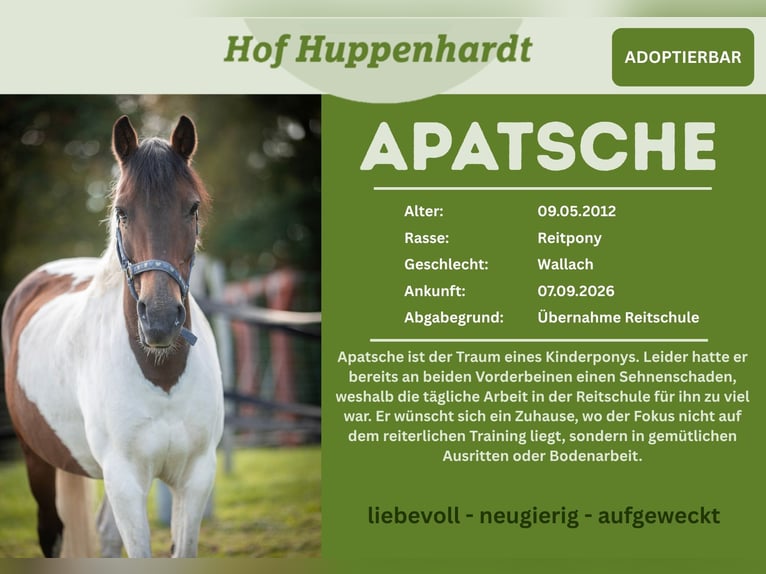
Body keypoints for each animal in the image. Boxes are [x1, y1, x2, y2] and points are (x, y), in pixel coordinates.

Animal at [1, 115, 224, 557]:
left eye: (192, 208)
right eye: (121, 211)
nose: (159, 320)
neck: (162, 376)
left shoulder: (196, 477)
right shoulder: (125, 481)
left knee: (103, 534)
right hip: (37, 460)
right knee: (51, 534)